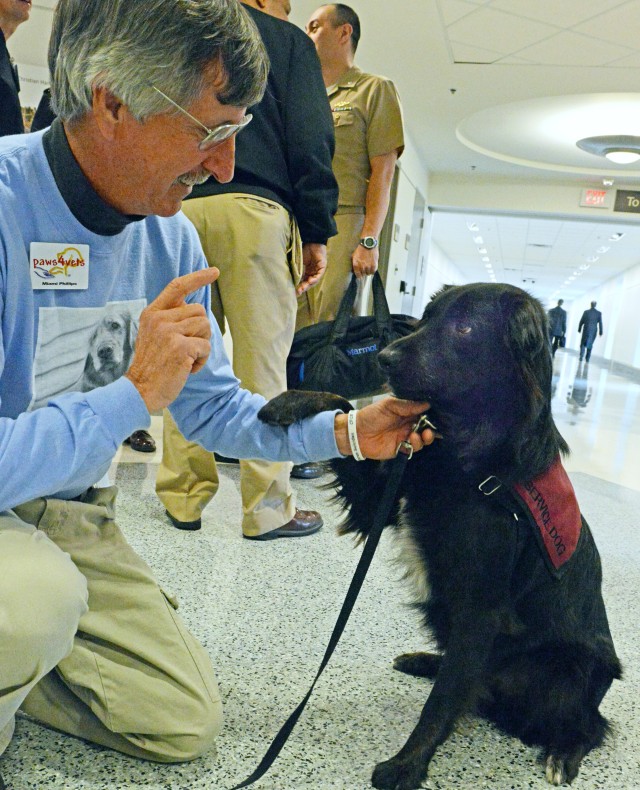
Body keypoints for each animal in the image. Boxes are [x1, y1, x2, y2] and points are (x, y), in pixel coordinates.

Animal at [258, 284, 620, 790]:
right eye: (427, 318)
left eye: (464, 328)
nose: (384, 358)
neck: (469, 457)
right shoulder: (378, 499)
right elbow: (346, 410)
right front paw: (290, 400)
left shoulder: (480, 608)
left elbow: (443, 701)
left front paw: (407, 764)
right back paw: (423, 661)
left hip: (570, 666)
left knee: (587, 720)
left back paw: (564, 751)